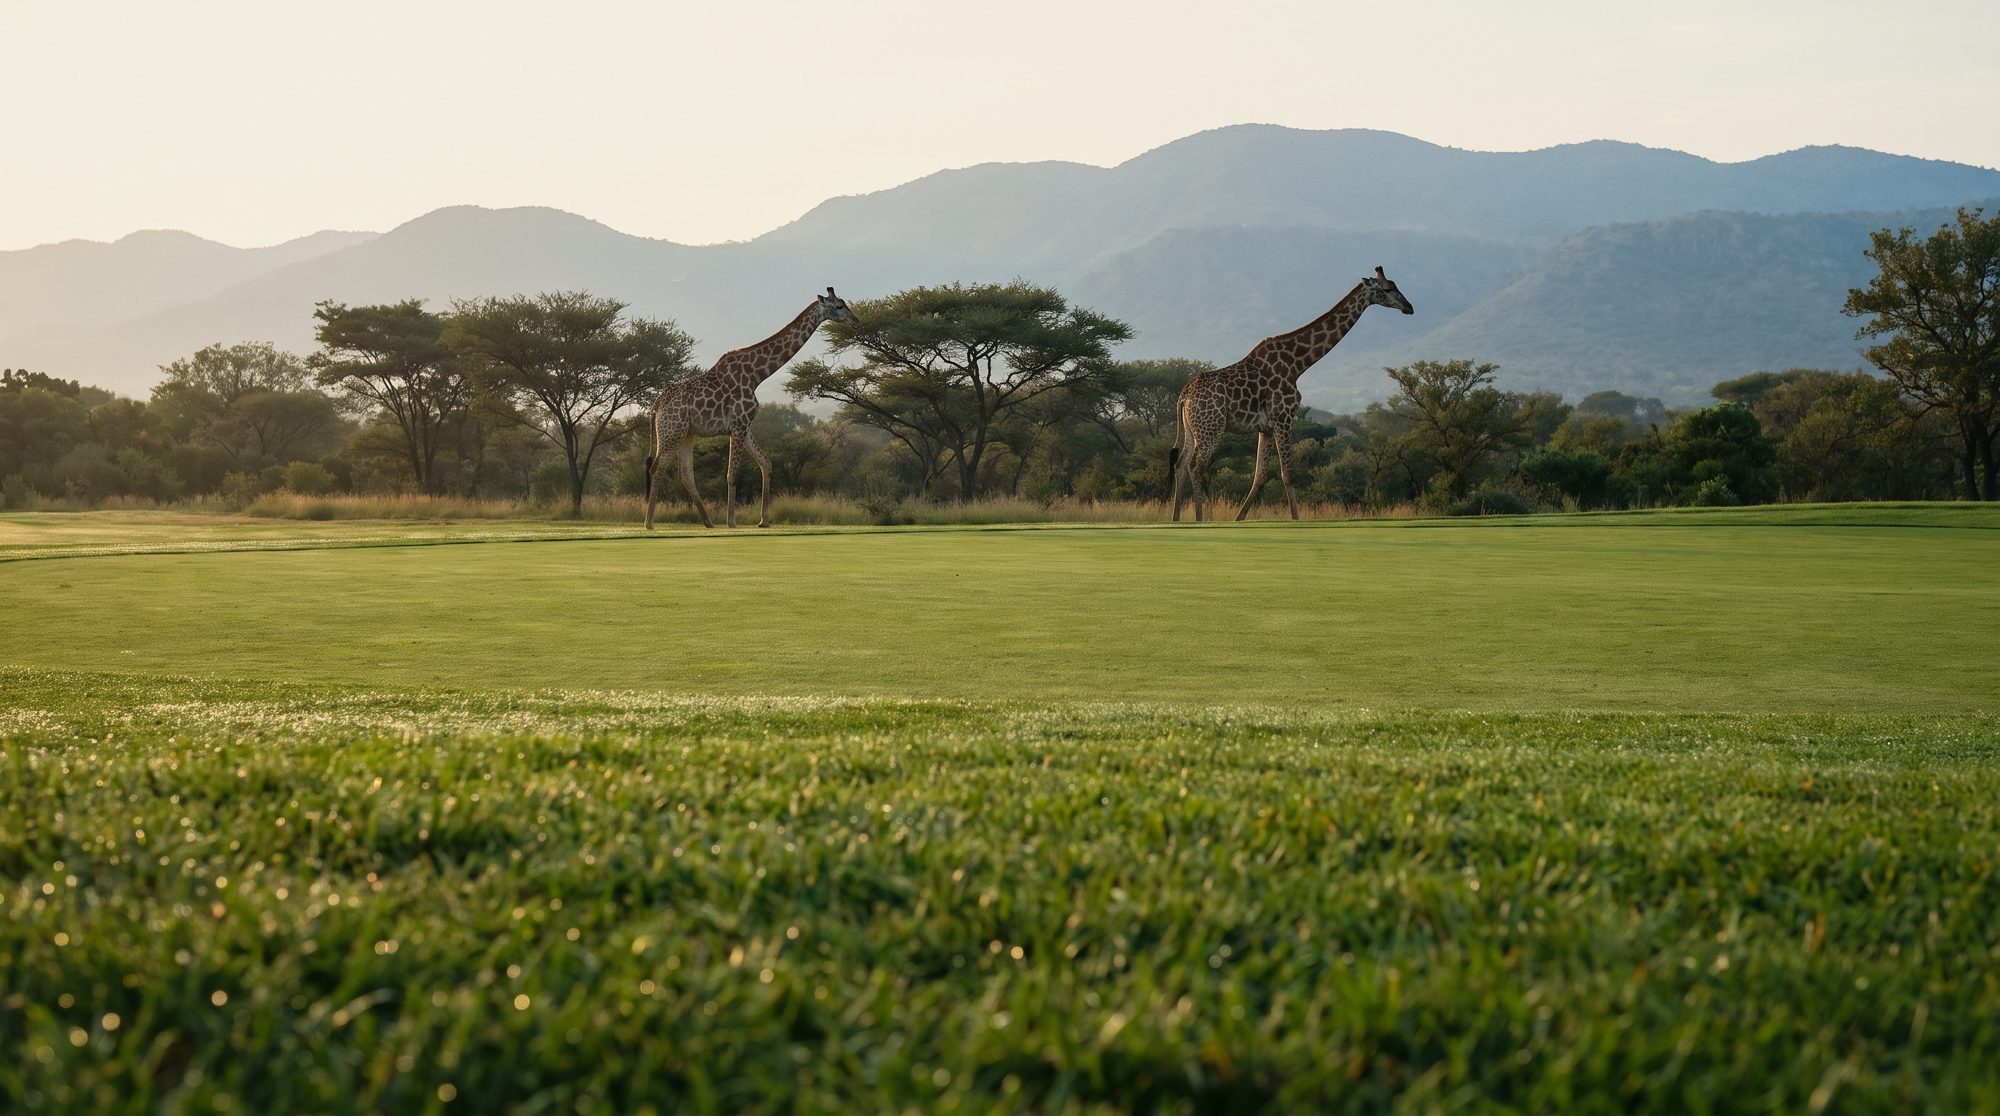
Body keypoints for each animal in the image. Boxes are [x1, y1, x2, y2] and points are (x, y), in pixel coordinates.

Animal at [644, 288, 858, 529]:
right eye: (839, 306)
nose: (856, 321)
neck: (757, 375)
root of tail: (656, 405)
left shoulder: (744, 426)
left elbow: (766, 463)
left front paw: (763, 520)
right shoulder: (738, 424)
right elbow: (733, 473)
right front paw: (732, 522)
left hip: (687, 433)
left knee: (685, 473)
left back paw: (709, 522)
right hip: (671, 430)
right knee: (657, 468)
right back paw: (649, 523)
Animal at [1169, 267, 1414, 522]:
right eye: (1387, 288)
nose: (1409, 307)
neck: (1298, 364)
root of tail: (1184, 396)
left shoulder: (1265, 428)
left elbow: (1259, 477)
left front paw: (1238, 519)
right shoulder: (1283, 418)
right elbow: (1287, 474)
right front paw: (1296, 519)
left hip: (1193, 429)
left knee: (1180, 464)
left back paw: (1175, 518)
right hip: (1212, 428)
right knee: (1195, 466)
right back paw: (1199, 519)